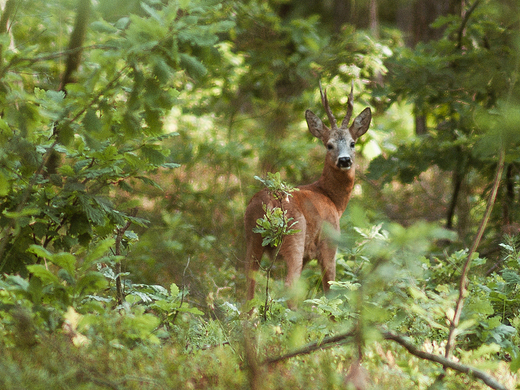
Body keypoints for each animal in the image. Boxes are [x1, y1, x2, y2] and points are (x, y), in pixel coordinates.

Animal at [244, 83, 370, 304]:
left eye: (352, 143)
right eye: (329, 145)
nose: (345, 160)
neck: (332, 199)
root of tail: (269, 204)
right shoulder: (329, 244)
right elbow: (330, 289)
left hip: (252, 239)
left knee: (248, 288)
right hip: (294, 235)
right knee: (289, 286)